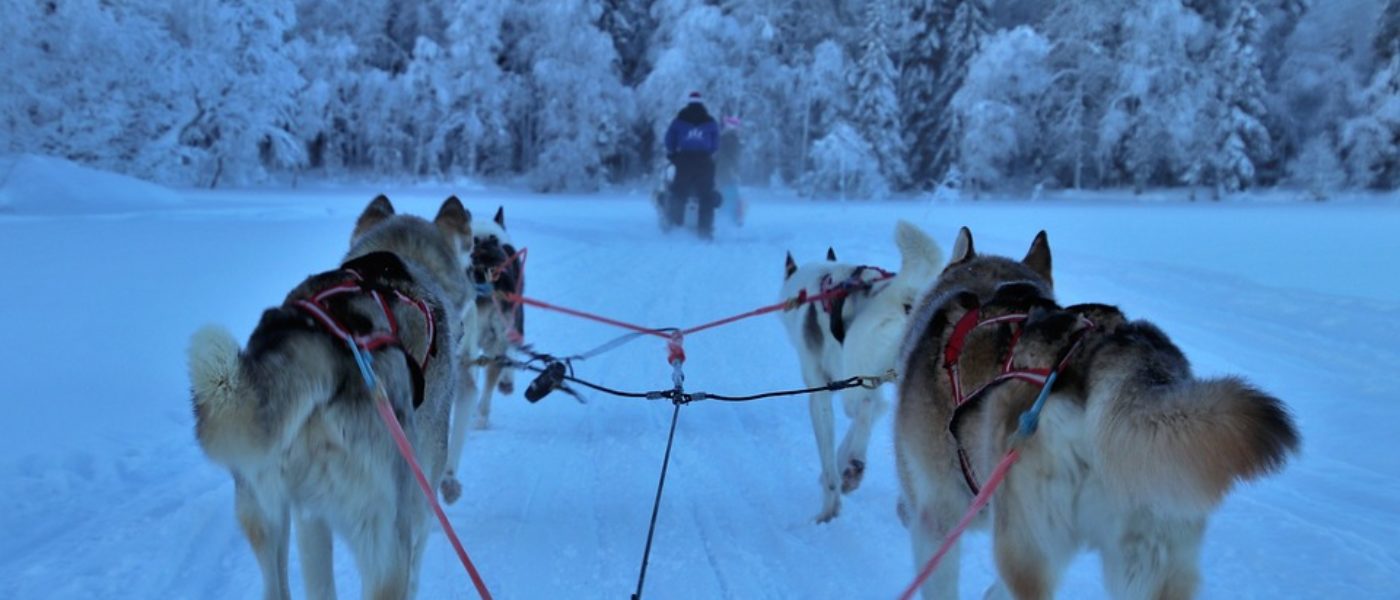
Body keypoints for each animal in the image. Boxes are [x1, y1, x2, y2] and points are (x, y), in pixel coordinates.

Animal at [189, 194, 473, 595]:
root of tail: (323, 342)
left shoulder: (310, 519)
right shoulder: (420, 504)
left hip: (265, 511)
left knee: (279, 585)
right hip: (387, 546)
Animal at [778, 218, 952, 520]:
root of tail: (904, 296)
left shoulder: (822, 392)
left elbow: (830, 455)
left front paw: (829, 506)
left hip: (856, 372)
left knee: (863, 407)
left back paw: (854, 468)